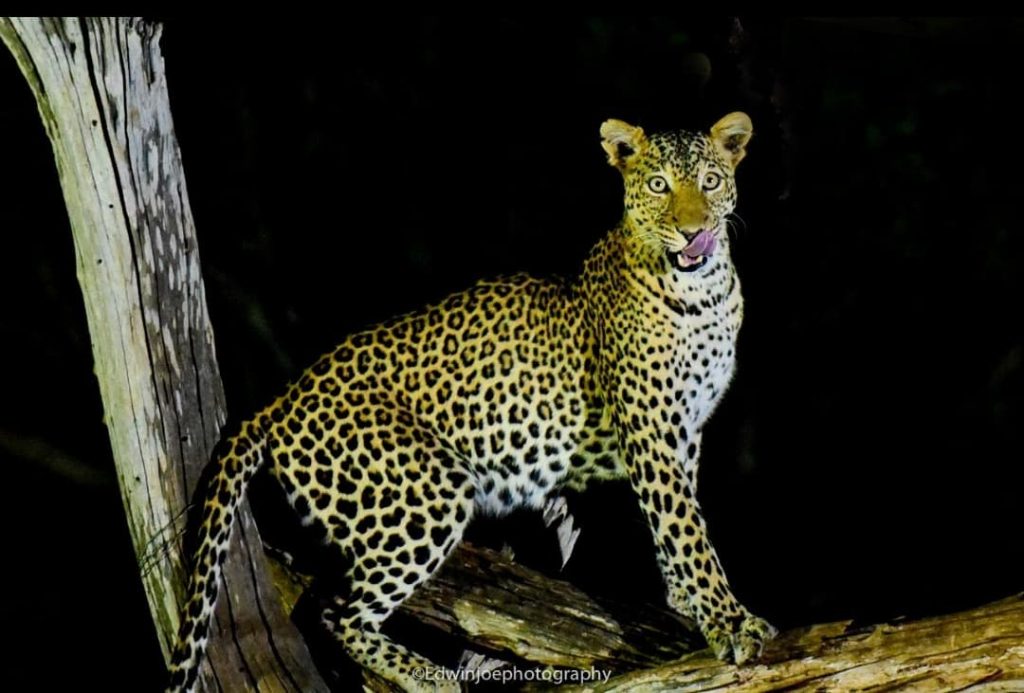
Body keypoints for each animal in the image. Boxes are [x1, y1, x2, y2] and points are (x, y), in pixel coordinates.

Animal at [167, 113, 774, 691]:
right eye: (657, 184)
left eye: (710, 181)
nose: (693, 231)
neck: (705, 294)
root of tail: (281, 400)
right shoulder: (650, 429)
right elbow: (686, 528)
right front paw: (730, 622)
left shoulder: (686, 430)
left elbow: (680, 520)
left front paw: (689, 604)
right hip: (428, 492)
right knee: (336, 612)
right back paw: (425, 675)